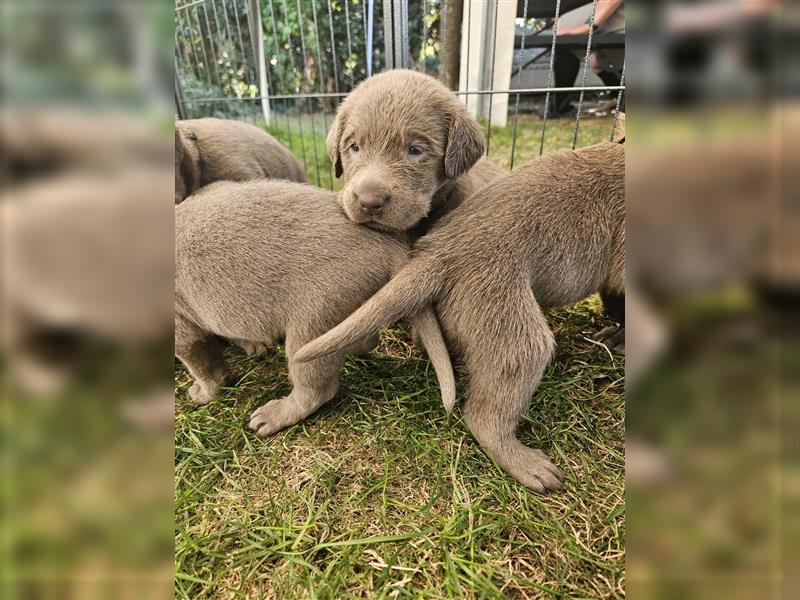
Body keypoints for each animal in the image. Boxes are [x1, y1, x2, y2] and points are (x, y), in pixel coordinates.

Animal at [173, 179, 456, 436]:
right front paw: (253, 346)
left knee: (316, 389)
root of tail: (389, 244)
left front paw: (204, 392)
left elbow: (202, 363)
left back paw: (274, 415)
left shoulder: (182, 326)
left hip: (312, 319)